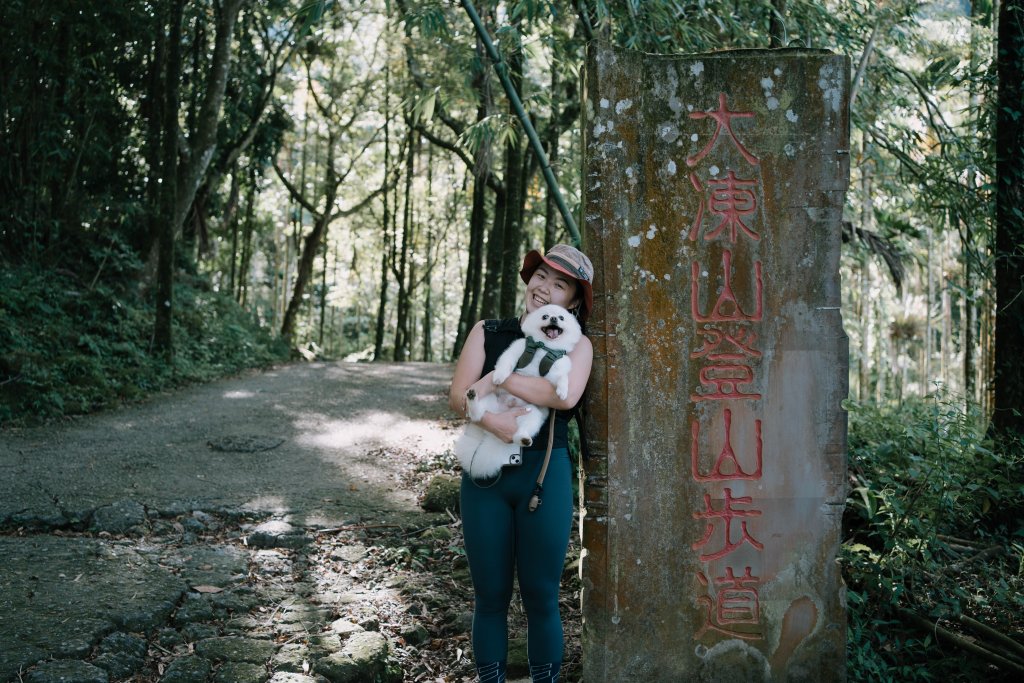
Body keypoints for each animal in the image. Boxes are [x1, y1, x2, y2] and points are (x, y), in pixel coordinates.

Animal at [458, 307, 585, 479]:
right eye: (545, 316)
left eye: (561, 318)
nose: (553, 318)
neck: (544, 347)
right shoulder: (515, 350)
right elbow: (506, 363)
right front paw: (499, 376)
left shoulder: (557, 367)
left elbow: (562, 377)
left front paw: (562, 391)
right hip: (489, 400)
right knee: (477, 414)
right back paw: (472, 398)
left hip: (531, 414)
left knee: (519, 433)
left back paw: (524, 439)